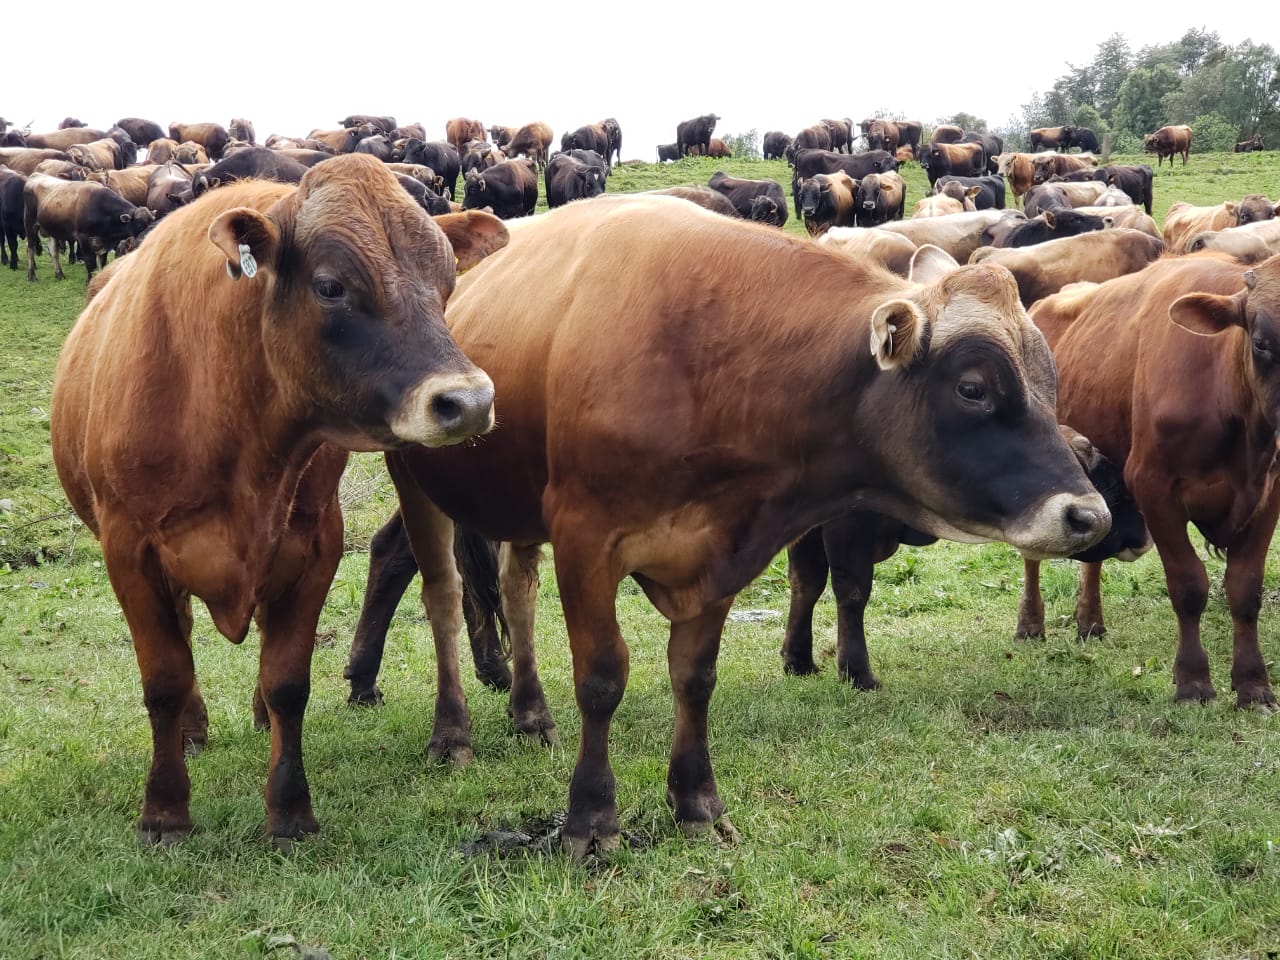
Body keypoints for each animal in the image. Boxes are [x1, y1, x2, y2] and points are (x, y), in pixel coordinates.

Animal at [24, 174, 153, 281]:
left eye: (152, 221)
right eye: (140, 224)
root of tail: (35, 175)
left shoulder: (102, 242)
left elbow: (103, 263)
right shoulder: (83, 238)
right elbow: (90, 263)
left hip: (52, 230)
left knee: (53, 251)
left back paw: (59, 274)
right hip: (30, 224)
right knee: (30, 249)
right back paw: (31, 275)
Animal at [49, 154, 509, 844]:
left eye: (447, 280)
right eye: (330, 286)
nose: (469, 402)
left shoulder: (313, 544)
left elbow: (289, 680)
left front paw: (290, 809)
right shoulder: (129, 549)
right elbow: (164, 678)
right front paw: (164, 811)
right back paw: (192, 729)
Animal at [355, 193, 1116, 855]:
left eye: (1049, 381)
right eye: (973, 388)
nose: (1090, 514)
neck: (708, 362)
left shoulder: (719, 552)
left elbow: (695, 677)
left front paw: (696, 803)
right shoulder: (585, 537)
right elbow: (602, 678)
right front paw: (590, 819)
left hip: (518, 510)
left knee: (516, 592)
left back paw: (530, 711)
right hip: (418, 480)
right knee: (443, 599)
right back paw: (450, 732)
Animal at [1024, 252, 1280, 711]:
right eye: (1261, 343)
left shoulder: (1269, 492)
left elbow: (1246, 589)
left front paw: (1253, 686)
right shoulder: (1154, 487)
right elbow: (1188, 586)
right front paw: (1193, 682)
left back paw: (1090, 621)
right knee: (1032, 556)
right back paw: (1031, 624)